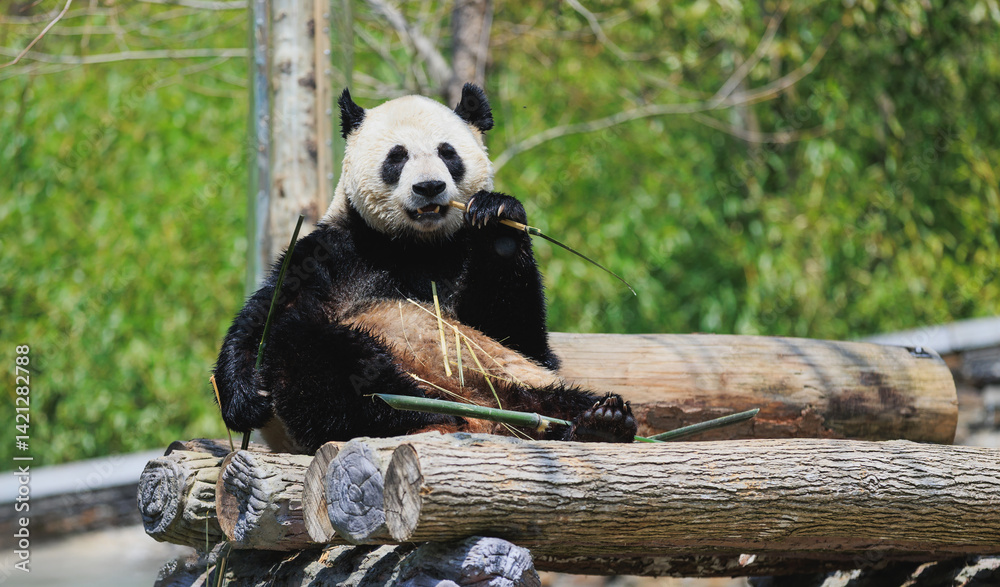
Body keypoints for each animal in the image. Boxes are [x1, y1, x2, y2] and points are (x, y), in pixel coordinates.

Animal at [214, 84, 636, 454]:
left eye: (448, 153)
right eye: (397, 156)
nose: (429, 187)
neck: (415, 246)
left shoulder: (461, 259)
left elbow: (520, 336)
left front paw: (496, 214)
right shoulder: (333, 253)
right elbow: (266, 314)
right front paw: (244, 398)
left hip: (518, 385)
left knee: (556, 401)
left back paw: (602, 422)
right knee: (308, 346)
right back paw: (411, 412)